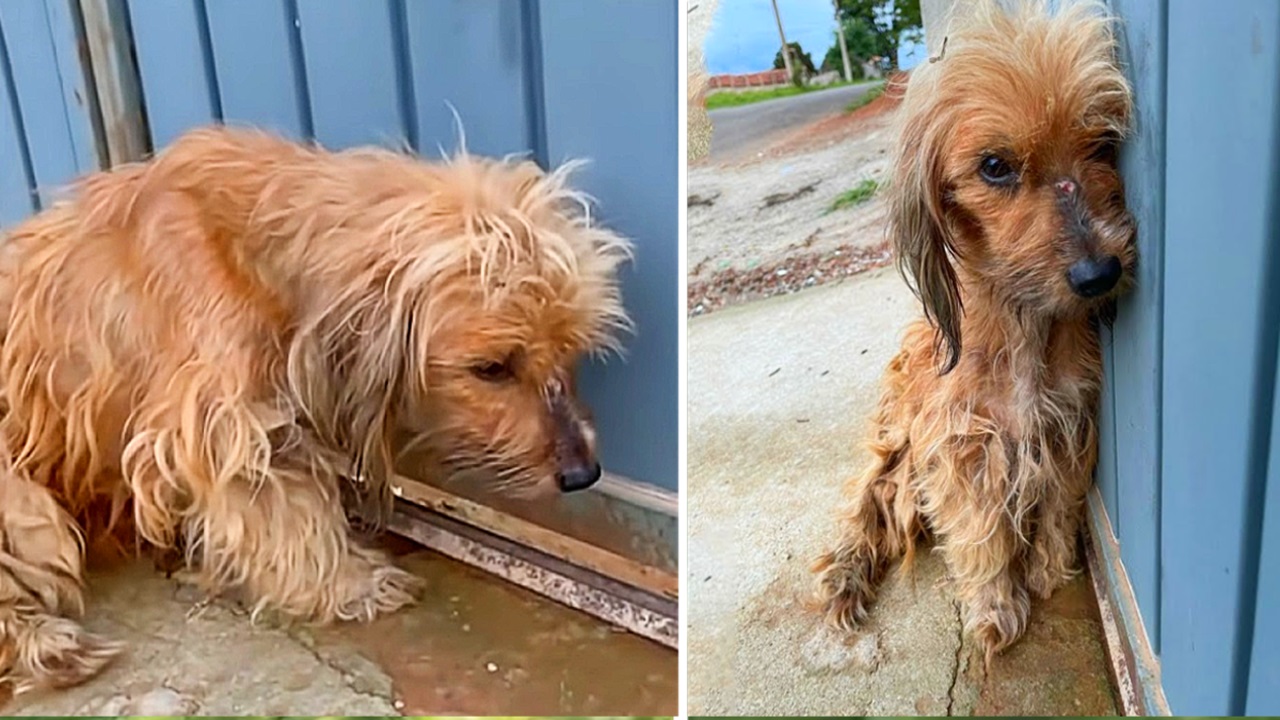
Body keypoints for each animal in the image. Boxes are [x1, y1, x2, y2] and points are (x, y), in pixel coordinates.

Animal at [0, 124, 629, 691]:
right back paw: (45, 645)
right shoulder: (226, 423)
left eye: (570, 349)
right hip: (28, 511)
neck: (256, 252)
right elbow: (284, 511)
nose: (583, 473)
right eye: (493, 367)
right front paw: (352, 582)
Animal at [814, 0, 1136, 661]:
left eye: (1101, 142)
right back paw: (846, 572)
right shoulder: (962, 449)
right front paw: (996, 607)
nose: (1100, 275)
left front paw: (1047, 569)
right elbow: (982, 536)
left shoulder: (1068, 429)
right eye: (994, 166)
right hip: (894, 439)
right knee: (866, 501)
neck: (1023, 324)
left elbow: (1057, 507)